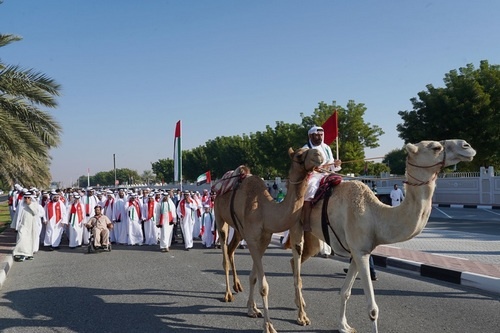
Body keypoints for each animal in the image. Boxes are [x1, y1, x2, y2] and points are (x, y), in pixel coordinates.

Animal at [215, 147, 324, 332]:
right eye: (299, 155)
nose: (318, 154)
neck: (265, 210)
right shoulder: (252, 238)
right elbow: (264, 285)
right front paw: (268, 326)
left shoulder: (264, 238)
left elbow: (254, 277)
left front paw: (253, 309)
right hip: (219, 218)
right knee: (224, 255)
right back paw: (228, 294)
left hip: (239, 230)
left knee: (230, 250)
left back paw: (238, 286)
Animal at [286, 139, 476, 332]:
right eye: (435, 147)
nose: (467, 146)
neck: (375, 215)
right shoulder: (360, 252)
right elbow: (372, 309)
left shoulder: (358, 251)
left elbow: (345, 292)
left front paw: (344, 326)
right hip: (295, 227)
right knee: (297, 262)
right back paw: (301, 317)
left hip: (313, 237)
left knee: (295, 262)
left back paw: (300, 304)